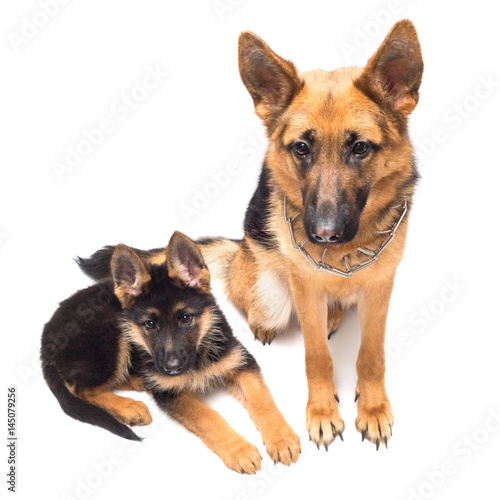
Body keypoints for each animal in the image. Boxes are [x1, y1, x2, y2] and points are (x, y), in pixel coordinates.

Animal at [41, 230, 298, 472]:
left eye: (185, 318)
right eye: (150, 325)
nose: (172, 369)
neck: (197, 357)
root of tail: (46, 337)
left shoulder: (240, 363)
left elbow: (263, 400)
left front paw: (281, 439)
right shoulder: (173, 395)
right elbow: (209, 416)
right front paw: (239, 449)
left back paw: (139, 382)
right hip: (110, 337)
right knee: (81, 388)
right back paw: (129, 406)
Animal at [76, 20, 424, 454]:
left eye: (360, 147)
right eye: (302, 148)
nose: (323, 234)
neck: (343, 255)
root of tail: (241, 248)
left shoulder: (381, 285)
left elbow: (372, 354)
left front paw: (373, 408)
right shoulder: (305, 288)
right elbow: (316, 356)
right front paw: (322, 411)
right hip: (270, 294)